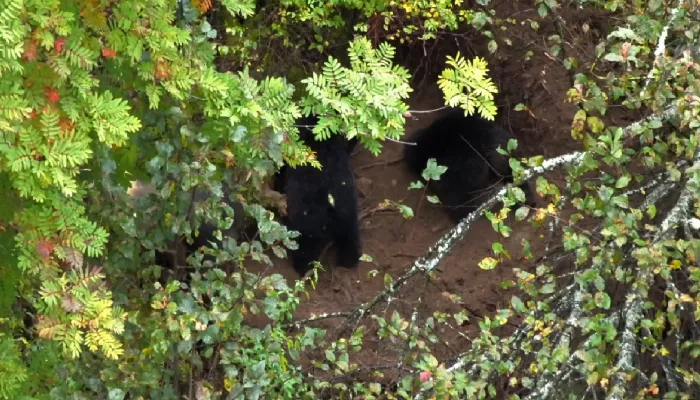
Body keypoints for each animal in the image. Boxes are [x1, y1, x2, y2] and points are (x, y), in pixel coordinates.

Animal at [272, 115, 364, 276]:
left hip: (305, 222)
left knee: (304, 246)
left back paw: (302, 267)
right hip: (347, 210)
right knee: (350, 235)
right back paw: (349, 259)